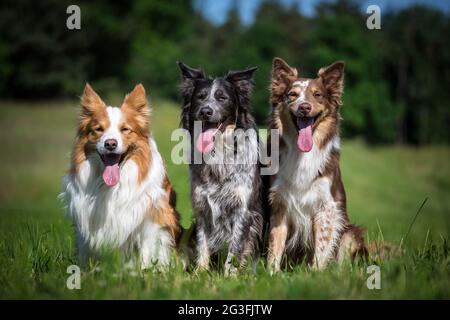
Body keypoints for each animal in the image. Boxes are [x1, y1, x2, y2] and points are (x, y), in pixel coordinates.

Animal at [60, 84, 182, 268]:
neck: (112, 186)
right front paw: (85, 273)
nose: (110, 144)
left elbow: (146, 253)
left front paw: (145, 272)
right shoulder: (85, 218)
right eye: (98, 129)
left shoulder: (151, 218)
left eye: (125, 129)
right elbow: (85, 254)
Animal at [266, 57, 368, 270]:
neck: (302, 155)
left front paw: (315, 274)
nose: (304, 107)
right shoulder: (281, 203)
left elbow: (321, 248)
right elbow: (275, 244)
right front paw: (270, 272)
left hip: (350, 232)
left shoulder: (326, 207)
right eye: (292, 94)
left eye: (318, 95)